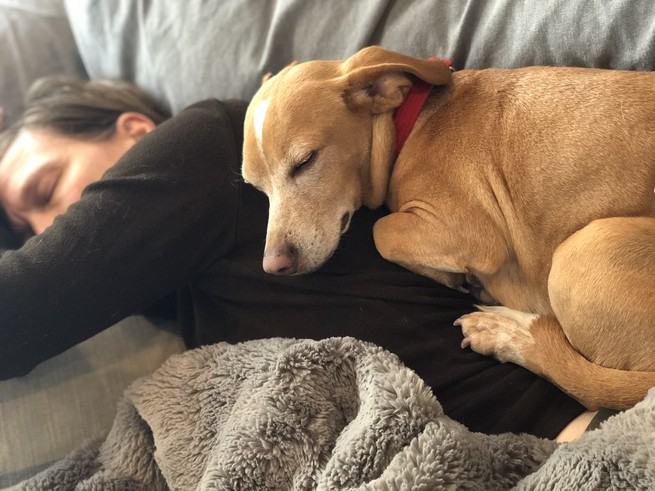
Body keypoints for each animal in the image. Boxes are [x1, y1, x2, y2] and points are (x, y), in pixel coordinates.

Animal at [242, 46, 655, 412]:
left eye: (306, 161)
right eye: (255, 187)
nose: (274, 266)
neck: (410, 125)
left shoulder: (468, 232)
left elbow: (381, 231)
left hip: (586, 249)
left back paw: (506, 331)